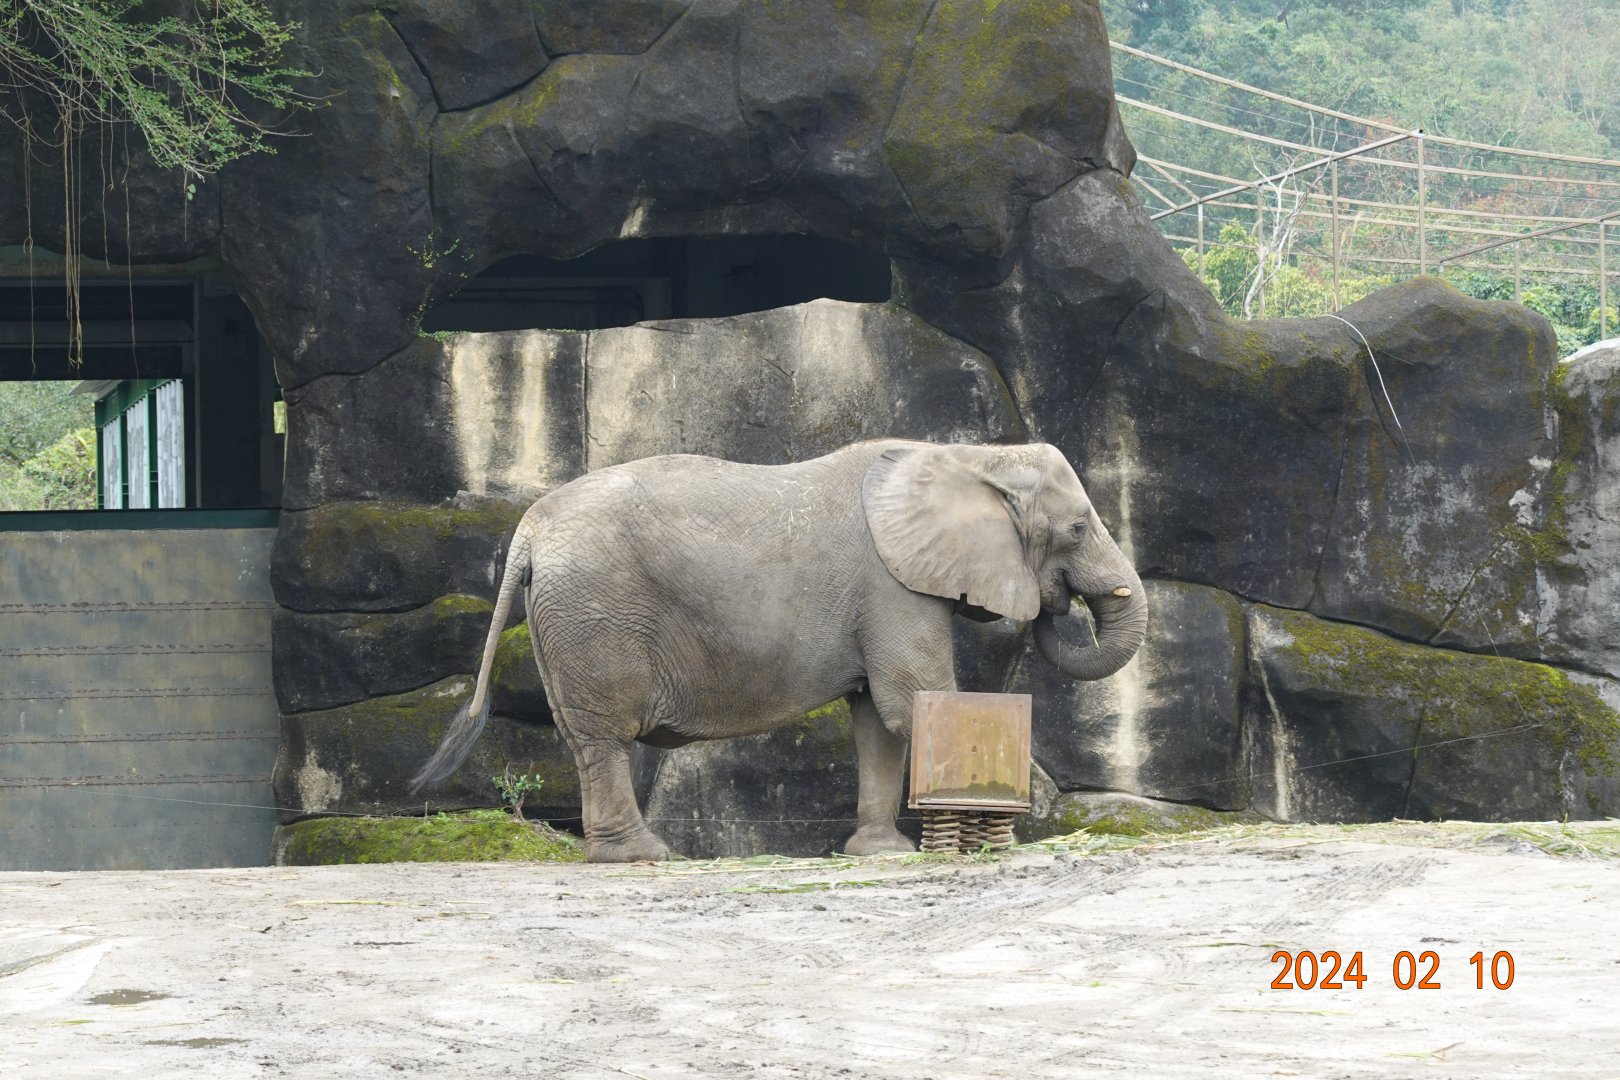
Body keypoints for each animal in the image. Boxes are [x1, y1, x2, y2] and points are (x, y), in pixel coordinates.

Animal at [411, 438, 1148, 862]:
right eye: (1077, 528)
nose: (1056, 604)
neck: (968, 453)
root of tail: (530, 529)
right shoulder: (891, 584)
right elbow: (912, 700)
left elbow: (878, 721)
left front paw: (879, 855)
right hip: (595, 610)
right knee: (606, 736)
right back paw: (646, 856)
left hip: (565, 617)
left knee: (583, 737)